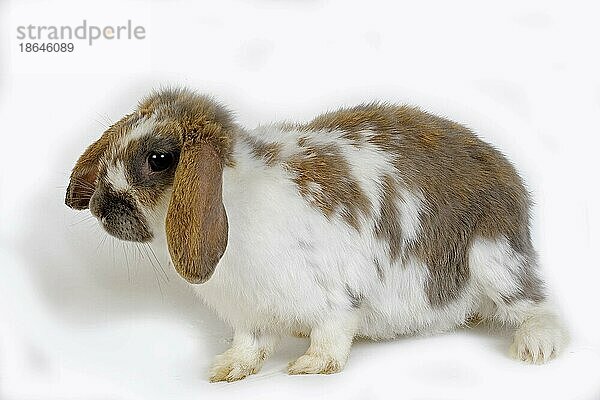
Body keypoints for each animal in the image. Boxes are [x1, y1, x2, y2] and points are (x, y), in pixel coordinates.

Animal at [65, 87, 568, 382]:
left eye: (159, 159)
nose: (100, 206)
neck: (235, 197)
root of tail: (509, 179)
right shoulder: (250, 314)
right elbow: (250, 344)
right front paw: (227, 370)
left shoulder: (335, 298)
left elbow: (332, 334)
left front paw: (309, 365)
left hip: (494, 261)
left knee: (538, 307)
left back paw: (535, 348)